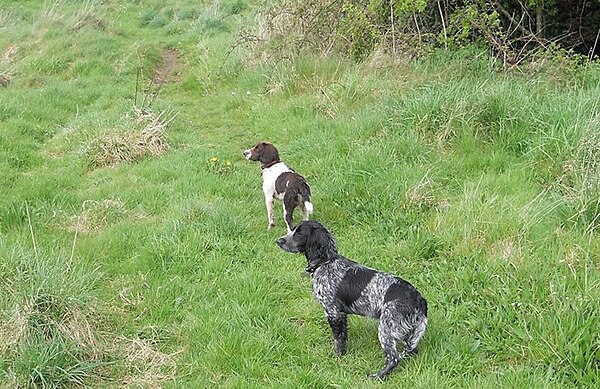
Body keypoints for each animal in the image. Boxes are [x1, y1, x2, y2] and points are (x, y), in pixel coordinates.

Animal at [276, 221, 426, 378]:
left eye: (299, 233)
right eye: (293, 229)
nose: (278, 241)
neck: (326, 262)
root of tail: (418, 299)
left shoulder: (333, 312)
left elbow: (338, 339)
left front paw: (337, 356)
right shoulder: (341, 314)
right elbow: (343, 336)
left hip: (387, 328)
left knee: (394, 358)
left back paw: (377, 376)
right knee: (410, 351)